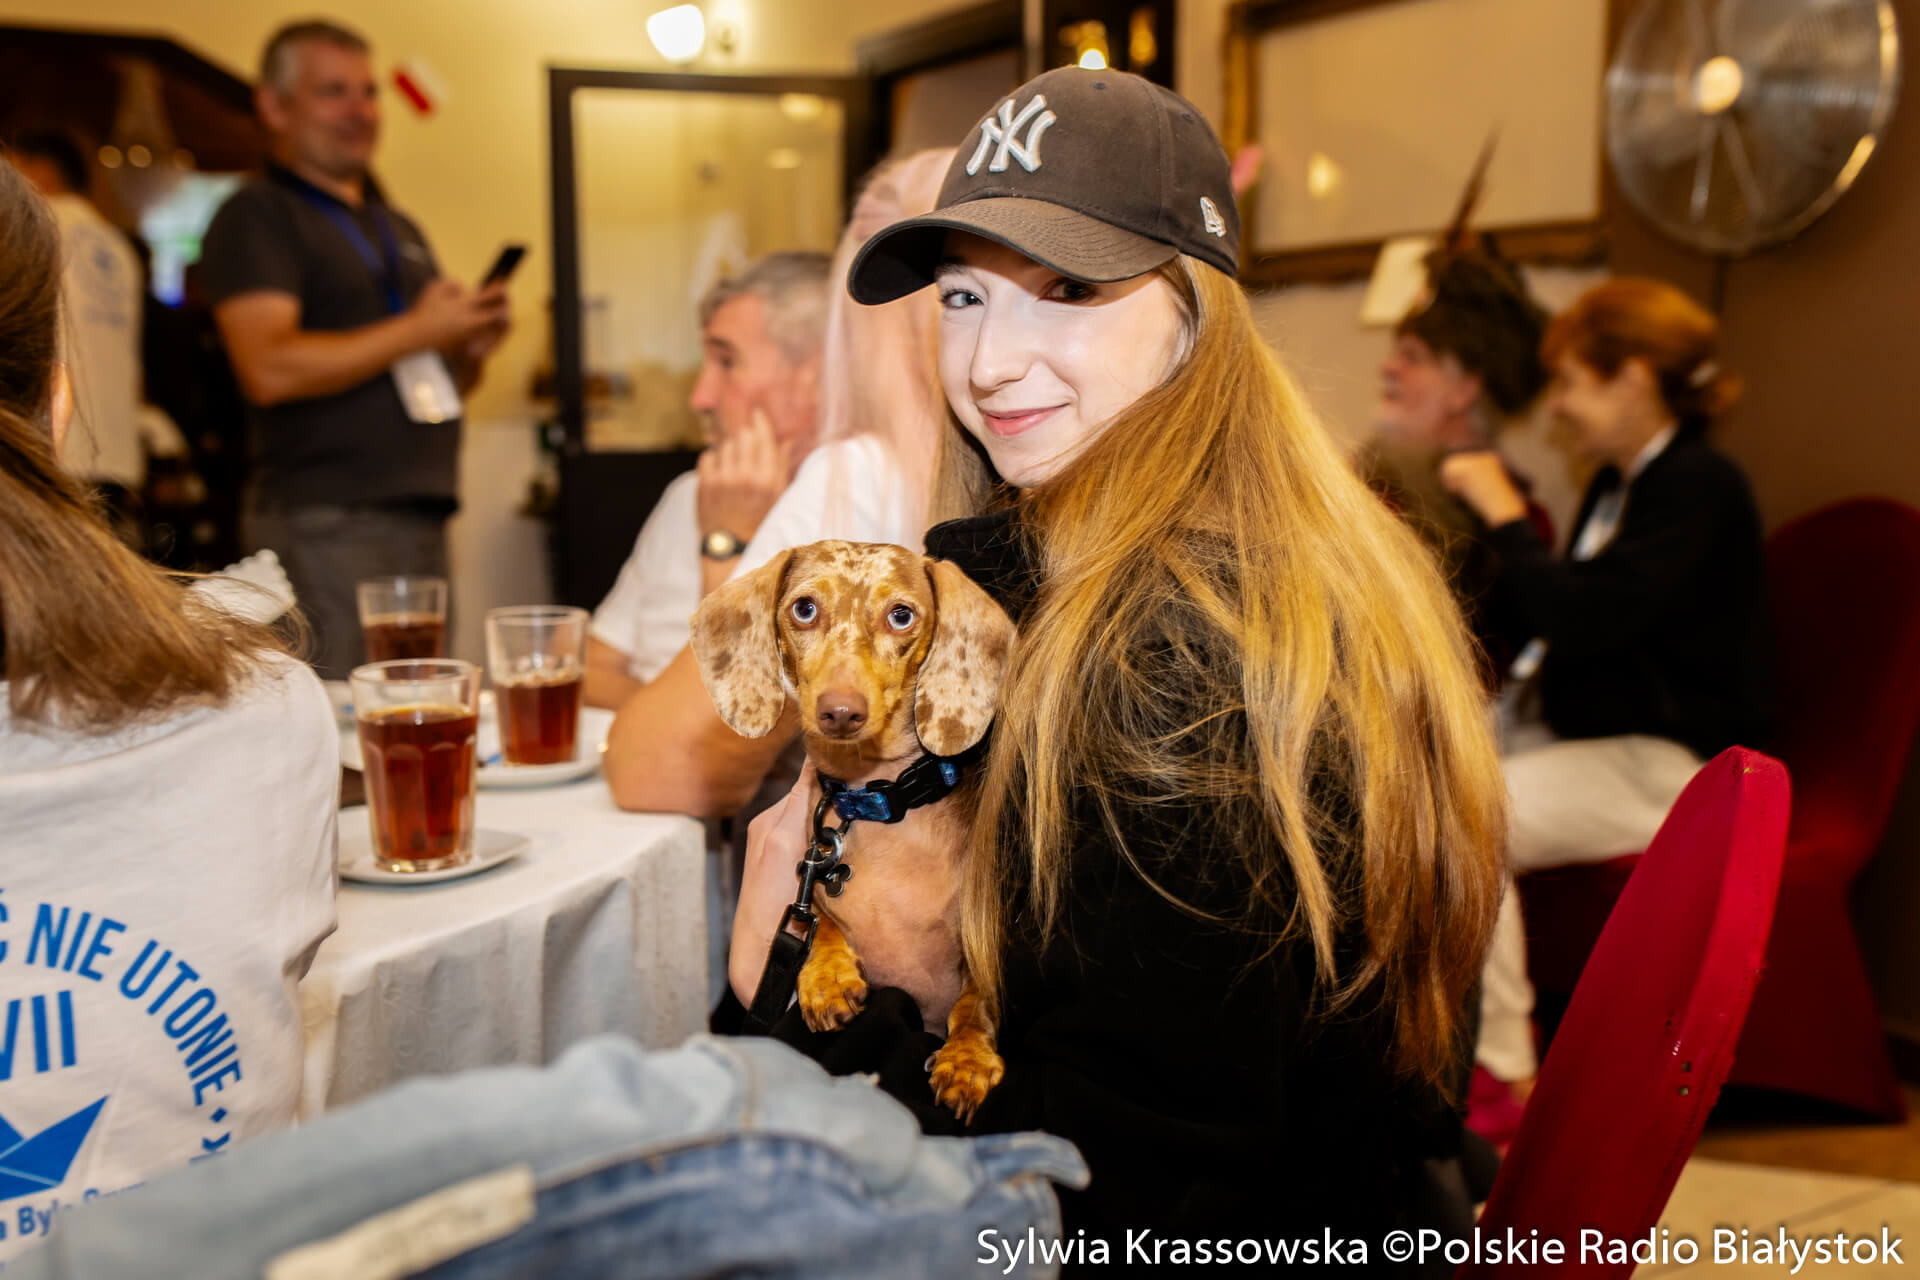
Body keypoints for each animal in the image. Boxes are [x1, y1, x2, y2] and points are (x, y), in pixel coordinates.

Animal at [690, 540, 1015, 1121]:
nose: (841, 712)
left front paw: (967, 1058)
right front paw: (827, 976)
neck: (878, 800)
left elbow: (975, 1001)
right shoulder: (808, 877)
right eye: (804, 608)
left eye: (901, 615)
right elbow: (819, 918)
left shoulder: (983, 948)